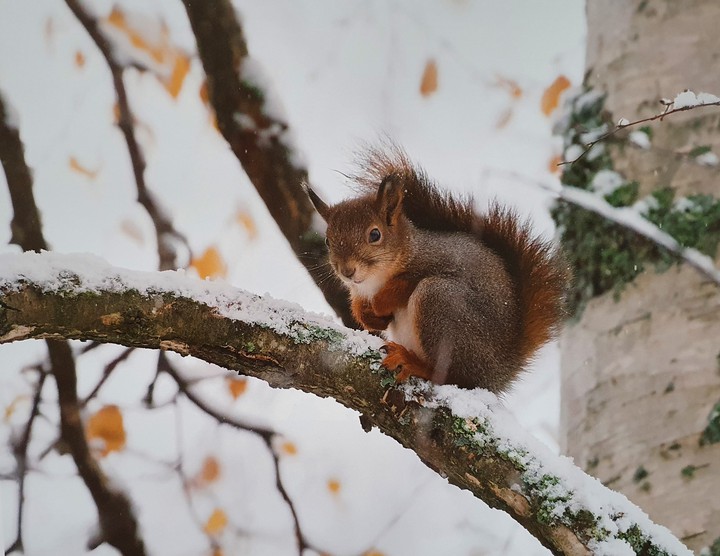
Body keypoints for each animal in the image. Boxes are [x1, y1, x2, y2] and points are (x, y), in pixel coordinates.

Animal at [305, 147, 568, 393]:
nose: (347, 271)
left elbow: (405, 284)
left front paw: (380, 303)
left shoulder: (443, 260)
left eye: (375, 234)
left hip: (441, 304)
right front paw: (368, 316)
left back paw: (413, 363)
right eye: (328, 240)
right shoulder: (358, 290)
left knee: (454, 376)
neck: (374, 280)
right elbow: (359, 306)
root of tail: (499, 371)